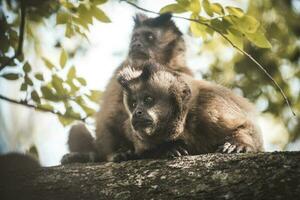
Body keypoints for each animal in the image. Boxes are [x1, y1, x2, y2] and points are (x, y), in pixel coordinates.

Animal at [60, 13, 195, 164]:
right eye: (135, 37)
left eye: (149, 37)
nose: (135, 44)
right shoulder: (123, 68)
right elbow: (109, 115)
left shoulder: (183, 72)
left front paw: (170, 147)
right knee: (79, 128)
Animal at [115, 62, 264, 159]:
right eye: (134, 104)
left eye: (148, 99)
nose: (137, 112)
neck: (185, 121)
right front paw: (168, 148)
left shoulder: (210, 107)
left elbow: (247, 126)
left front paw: (239, 144)